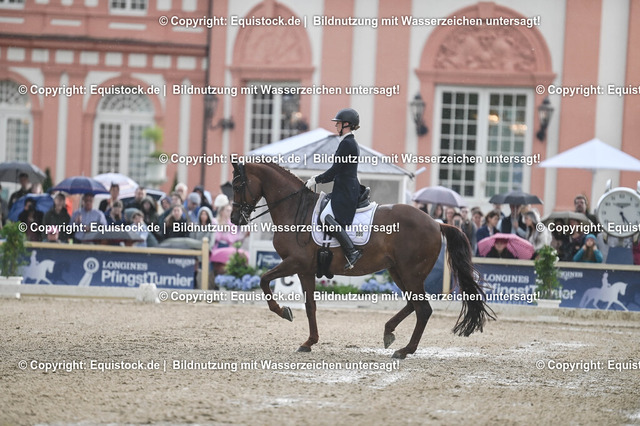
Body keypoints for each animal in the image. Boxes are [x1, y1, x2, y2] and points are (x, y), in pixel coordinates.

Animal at [230, 161, 495, 359]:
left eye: (238, 184)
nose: (235, 219)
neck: (295, 209)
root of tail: (436, 222)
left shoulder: (295, 263)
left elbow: (264, 281)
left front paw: (283, 311)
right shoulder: (306, 270)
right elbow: (310, 306)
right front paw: (309, 342)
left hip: (411, 273)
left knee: (423, 309)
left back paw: (405, 350)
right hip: (398, 272)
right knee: (414, 304)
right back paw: (389, 332)